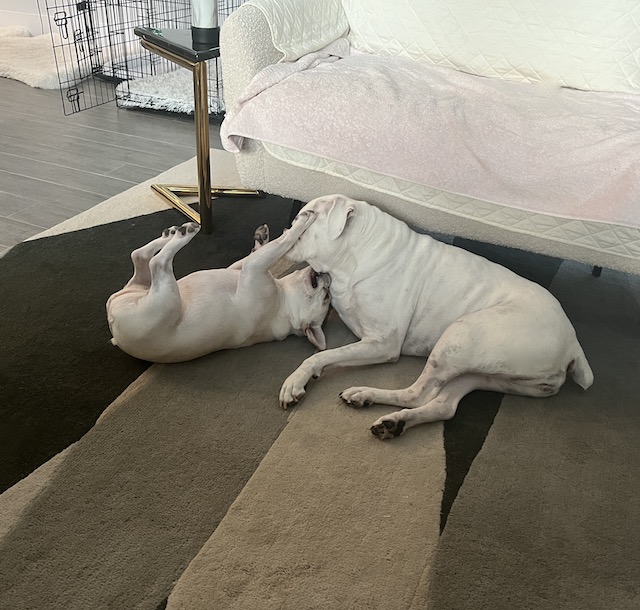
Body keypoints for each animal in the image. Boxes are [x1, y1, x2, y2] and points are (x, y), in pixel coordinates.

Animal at [106, 216, 330, 363]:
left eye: (326, 297)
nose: (328, 279)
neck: (285, 300)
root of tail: (114, 330)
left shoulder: (253, 268)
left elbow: (283, 242)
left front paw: (302, 223)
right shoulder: (243, 267)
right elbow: (262, 251)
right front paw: (262, 238)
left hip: (165, 301)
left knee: (156, 262)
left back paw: (182, 234)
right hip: (142, 286)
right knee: (139, 256)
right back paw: (169, 234)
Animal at [279, 194, 594, 440]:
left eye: (306, 216)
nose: (287, 226)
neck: (354, 256)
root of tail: (573, 344)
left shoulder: (382, 343)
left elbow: (322, 355)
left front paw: (296, 380)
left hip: (460, 334)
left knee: (417, 392)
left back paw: (368, 397)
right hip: (483, 373)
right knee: (444, 405)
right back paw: (392, 420)